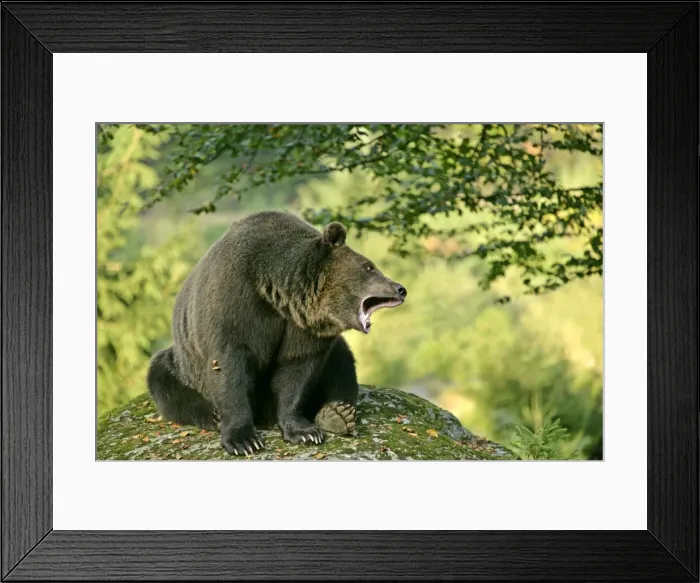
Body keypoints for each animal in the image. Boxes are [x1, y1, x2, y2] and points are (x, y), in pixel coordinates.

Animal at [146, 210, 407, 456]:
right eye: (369, 267)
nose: (400, 288)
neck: (279, 292)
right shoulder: (234, 302)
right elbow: (229, 367)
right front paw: (243, 440)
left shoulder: (302, 329)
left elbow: (297, 371)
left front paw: (304, 431)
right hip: (183, 365)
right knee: (166, 382)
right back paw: (213, 415)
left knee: (341, 362)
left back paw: (337, 414)